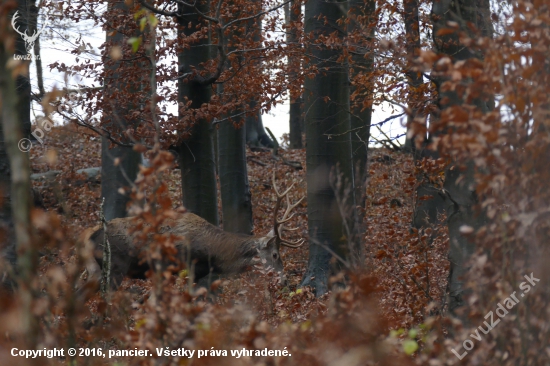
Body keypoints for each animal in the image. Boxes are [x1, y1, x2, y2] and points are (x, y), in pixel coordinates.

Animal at [82, 172, 306, 292]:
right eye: (275, 254)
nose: (285, 281)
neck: (213, 254)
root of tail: (89, 238)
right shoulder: (187, 265)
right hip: (115, 266)